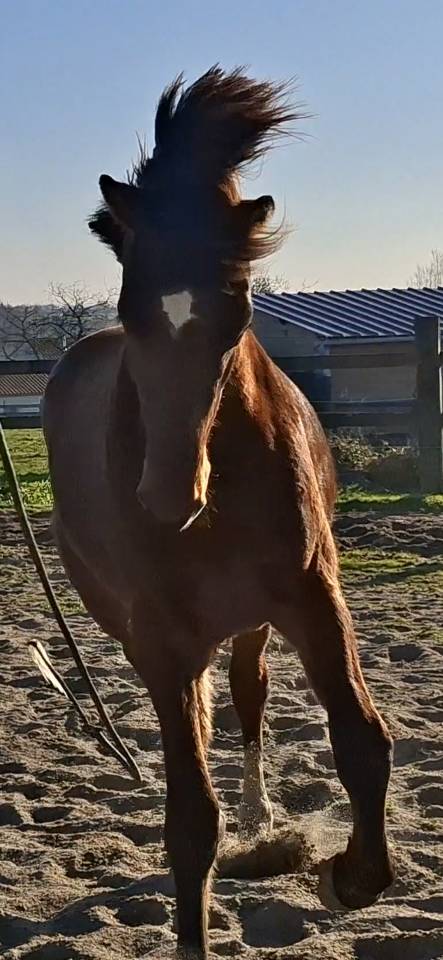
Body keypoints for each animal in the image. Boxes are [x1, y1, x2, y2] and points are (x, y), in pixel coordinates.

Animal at [43, 67, 394, 958]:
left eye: (237, 308)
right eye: (130, 305)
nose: (168, 498)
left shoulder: (310, 596)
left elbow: (361, 742)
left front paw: (346, 878)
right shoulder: (163, 634)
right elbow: (188, 821)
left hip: (253, 623)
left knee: (247, 695)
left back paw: (261, 814)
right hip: (141, 630)